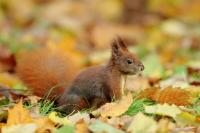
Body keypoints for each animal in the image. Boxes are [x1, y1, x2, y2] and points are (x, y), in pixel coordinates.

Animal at [16, 36, 144, 113]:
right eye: (129, 61)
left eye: (136, 55)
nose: (142, 67)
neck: (119, 73)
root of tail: (61, 100)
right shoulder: (111, 83)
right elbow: (116, 97)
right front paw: (126, 104)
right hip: (78, 101)